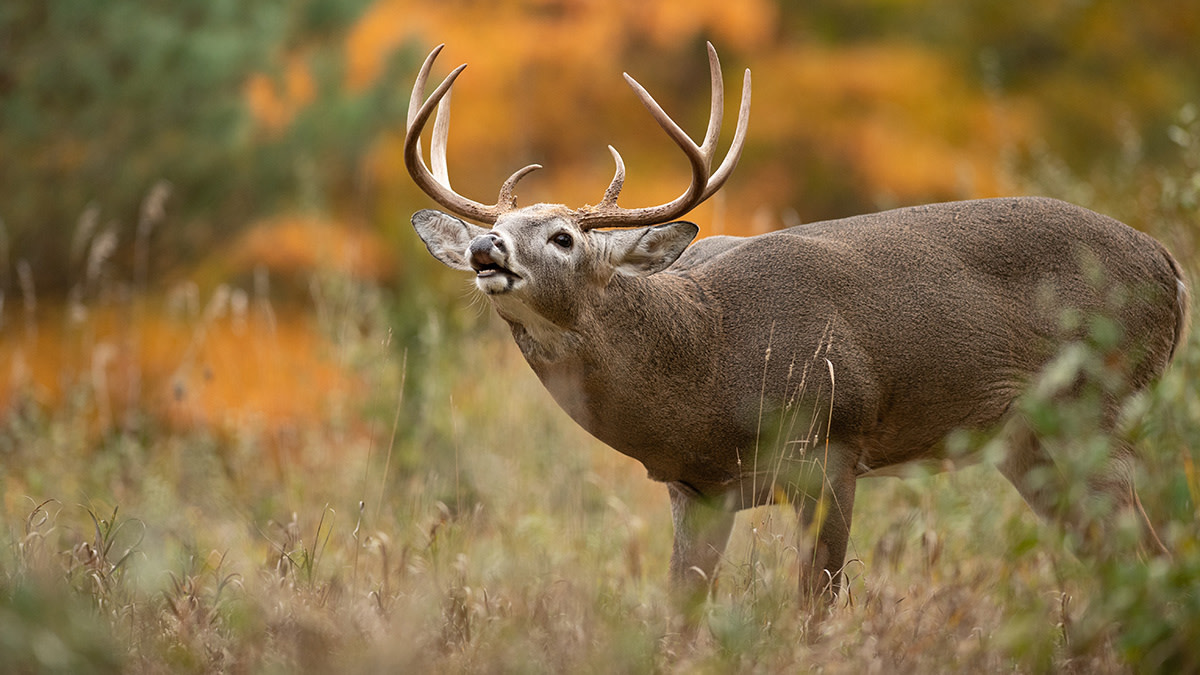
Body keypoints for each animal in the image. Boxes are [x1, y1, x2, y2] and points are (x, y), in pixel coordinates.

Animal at [405, 44, 1190, 619]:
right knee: (1118, 557)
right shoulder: (697, 489)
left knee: (1150, 552)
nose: (486, 250)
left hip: (1097, 406)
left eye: (564, 236)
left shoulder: (834, 446)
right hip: (1031, 445)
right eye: (499, 226)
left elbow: (815, 610)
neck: (706, 359)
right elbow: (680, 618)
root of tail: (1171, 267)